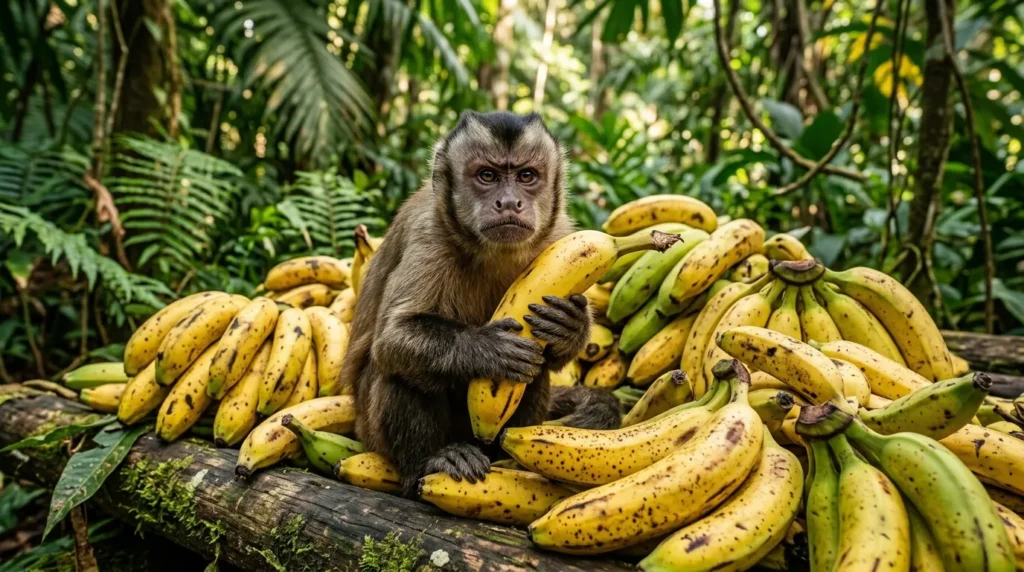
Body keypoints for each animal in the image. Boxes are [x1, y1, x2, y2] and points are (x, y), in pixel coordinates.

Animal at [339, 111, 621, 495]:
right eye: (487, 176)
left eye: (526, 176)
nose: (509, 202)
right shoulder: (429, 232)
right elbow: (395, 336)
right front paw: (488, 348)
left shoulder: (560, 235)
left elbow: (556, 355)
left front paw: (569, 326)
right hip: (370, 431)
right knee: (400, 368)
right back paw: (431, 461)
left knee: (536, 370)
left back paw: (503, 453)